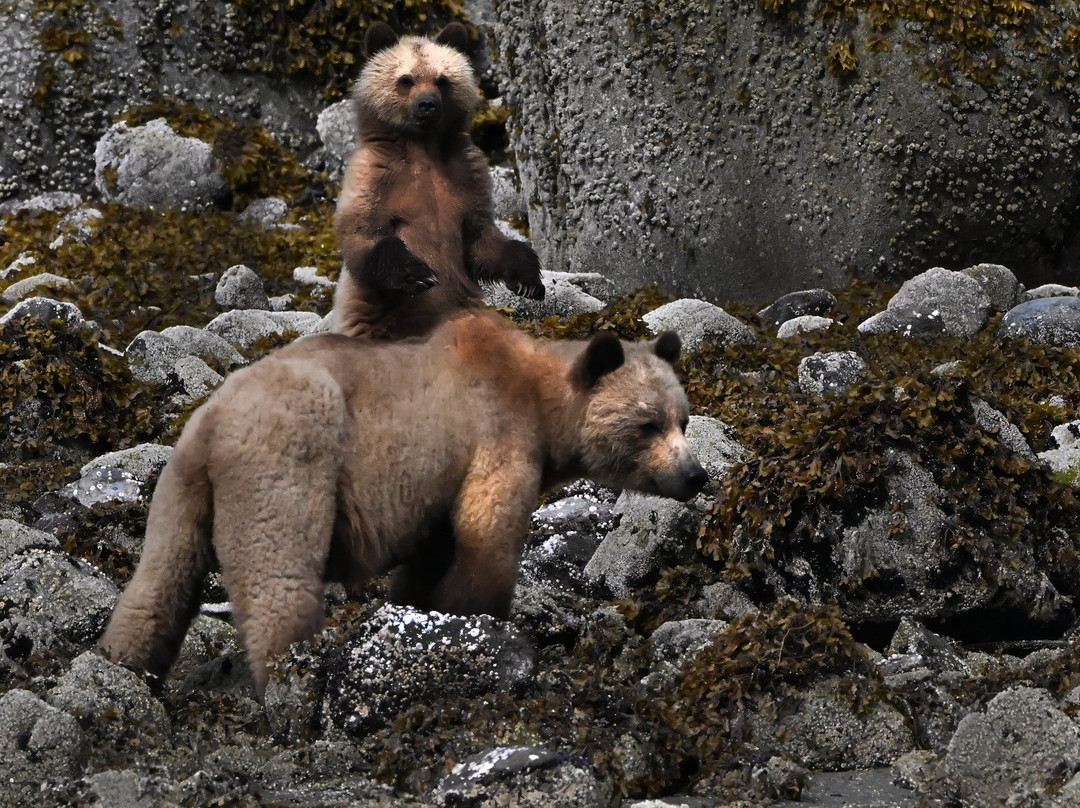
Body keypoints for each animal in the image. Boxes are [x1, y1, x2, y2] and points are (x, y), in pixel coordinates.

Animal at [98, 310, 707, 696]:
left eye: (682, 419)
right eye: (647, 424)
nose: (695, 475)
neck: (543, 407)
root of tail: (212, 423)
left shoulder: (435, 492)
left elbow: (431, 557)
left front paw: (420, 611)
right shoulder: (496, 436)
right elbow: (486, 532)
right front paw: (487, 629)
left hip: (181, 492)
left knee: (159, 583)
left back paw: (125, 669)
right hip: (287, 465)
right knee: (279, 578)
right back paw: (292, 682)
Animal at [332, 22, 545, 340]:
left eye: (442, 79)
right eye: (406, 79)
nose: (427, 105)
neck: (423, 147)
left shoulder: (467, 175)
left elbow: (481, 238)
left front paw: (529, 279)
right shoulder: (375, 176)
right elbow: (365, 233)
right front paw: (418, 274)